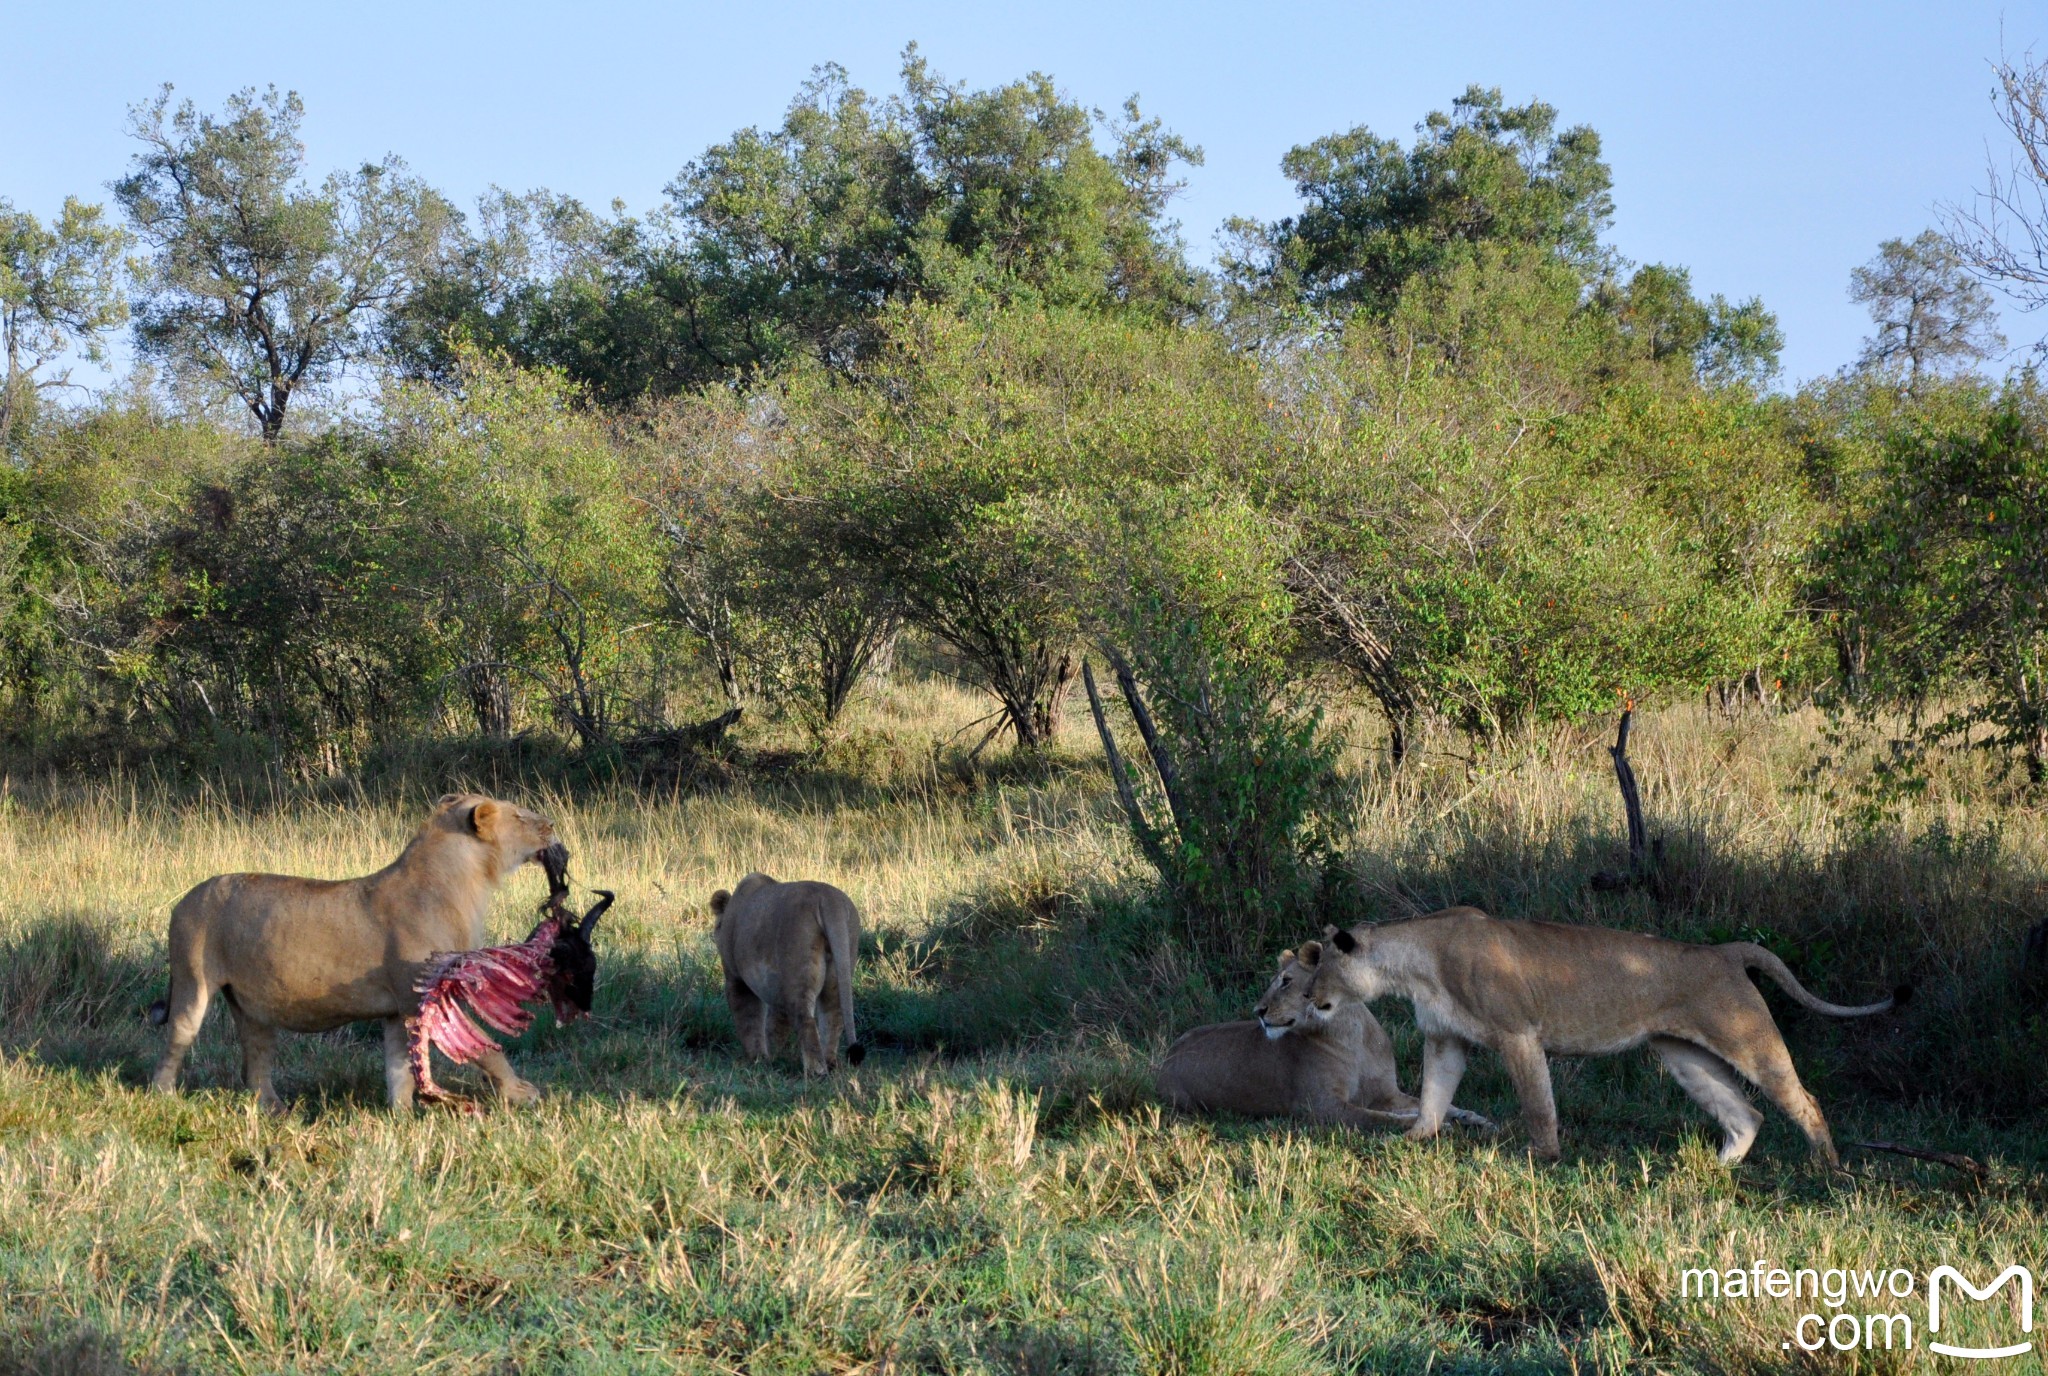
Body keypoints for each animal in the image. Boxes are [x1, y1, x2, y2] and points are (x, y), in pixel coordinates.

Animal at [149, 794, 569, 1105]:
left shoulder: (398, 1008)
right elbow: (484, 1047)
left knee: (255, 1063)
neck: (465, 882)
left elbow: (400, 1068)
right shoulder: (423, 995)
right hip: (192, 981)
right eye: (518, 814)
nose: (551, 824)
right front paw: (521, 1092)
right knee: (177, 1039)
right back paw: (164, 1096)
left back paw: (276, 1110)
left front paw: (401, 1118)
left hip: (253, 1008)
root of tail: (181, 901)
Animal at [712, 872, 864, 1072]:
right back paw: (830, 1063)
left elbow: (749, 1020)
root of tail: (828, 899)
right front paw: (771, 1057)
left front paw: (756, 1059)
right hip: (840, 963)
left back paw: (816, 1070)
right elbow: (775, 1025)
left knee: (805, 1019)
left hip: (798, 971)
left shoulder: (736, 979)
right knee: (834, 1015)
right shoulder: (776, 986)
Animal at [1163, 946, 1499, 1130]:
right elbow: (1376, 1118)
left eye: (1286, 981)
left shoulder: (1387, 1093)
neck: (1351, 1037)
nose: (1257, 1011)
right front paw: (1420, 1123)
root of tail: (1166, 1057)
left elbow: (1431, 1102)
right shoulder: (1323, 1108)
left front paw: (1473, 1118)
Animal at [1302, 909, 1908, 1163]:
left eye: (1319, 967)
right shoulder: (1447, 1039)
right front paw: (1414, 1141)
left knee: (1804, 1099)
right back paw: (1712, 1170)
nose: (1309, 998)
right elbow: (1433, 1095)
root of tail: (1724, 950)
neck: (1413, 965)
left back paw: (1829, 1169)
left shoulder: (1519, 1033)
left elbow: (1537, 1104)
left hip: (1746, 1040)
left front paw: (1542, 1158)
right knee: (1746, 1114)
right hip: (1686, 1057)